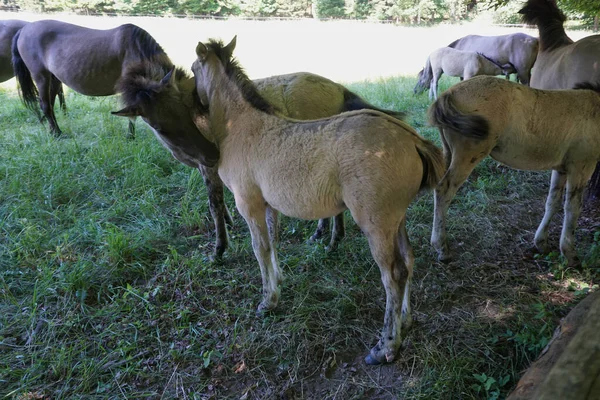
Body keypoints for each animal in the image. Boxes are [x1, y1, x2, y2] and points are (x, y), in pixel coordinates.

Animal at [11, 19, 168, 136]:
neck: (136, 48)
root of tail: (23, 29)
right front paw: (130, 137)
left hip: (54, 78)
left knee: (50, 102)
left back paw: (52, 130)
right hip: (41, 77)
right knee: (45, 105)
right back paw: (58, 134)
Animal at [113, 58, 408, 260]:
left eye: (186, 110)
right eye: (160, 125)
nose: (211, 152)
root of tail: (338, 87)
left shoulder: (210, 168)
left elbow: (214, 204)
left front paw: (219, 250)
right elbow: (220, 205)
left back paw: (332, 239)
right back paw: (322, 234)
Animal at [192, 37, 446, 366]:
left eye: (192, 69)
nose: (193, 104)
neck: (242, 126)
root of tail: (412, 139)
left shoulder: (248, 203)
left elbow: (260, 249)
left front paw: (267, 301)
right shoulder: (269, 205)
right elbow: (273, 242)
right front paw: (279, 282)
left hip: (376, 223)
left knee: (394, 274)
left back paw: (387, 345)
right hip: (396, 218)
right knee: (409, 259)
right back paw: (406, 321)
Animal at [426, 76, 600, 268]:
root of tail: (448, 93)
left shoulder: (561, 168)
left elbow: (552, 202)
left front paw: (541, 243)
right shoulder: (582, 165)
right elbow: (572, 208)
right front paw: (571, 255)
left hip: (448, 152)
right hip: (467, 155)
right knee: (444, 190)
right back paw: (442, 248)